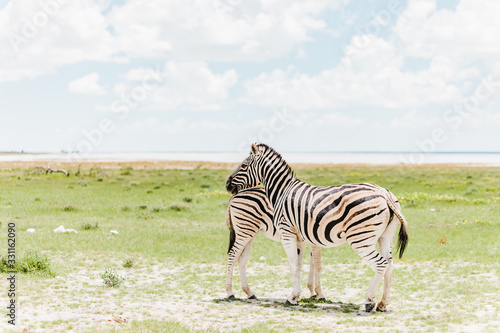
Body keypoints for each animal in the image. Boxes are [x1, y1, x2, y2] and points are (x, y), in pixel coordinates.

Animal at [226, 143, 406, 312]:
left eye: (243, 165)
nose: (227, 185)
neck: (282, 192)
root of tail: (384, 194)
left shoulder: (288, 232)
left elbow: (296, 264)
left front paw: (296, 296)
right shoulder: (302, 236)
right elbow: (302, 265)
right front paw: (301, 295)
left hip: (361, 238)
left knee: (381, 264)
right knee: (389, 264)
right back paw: (383, 303)